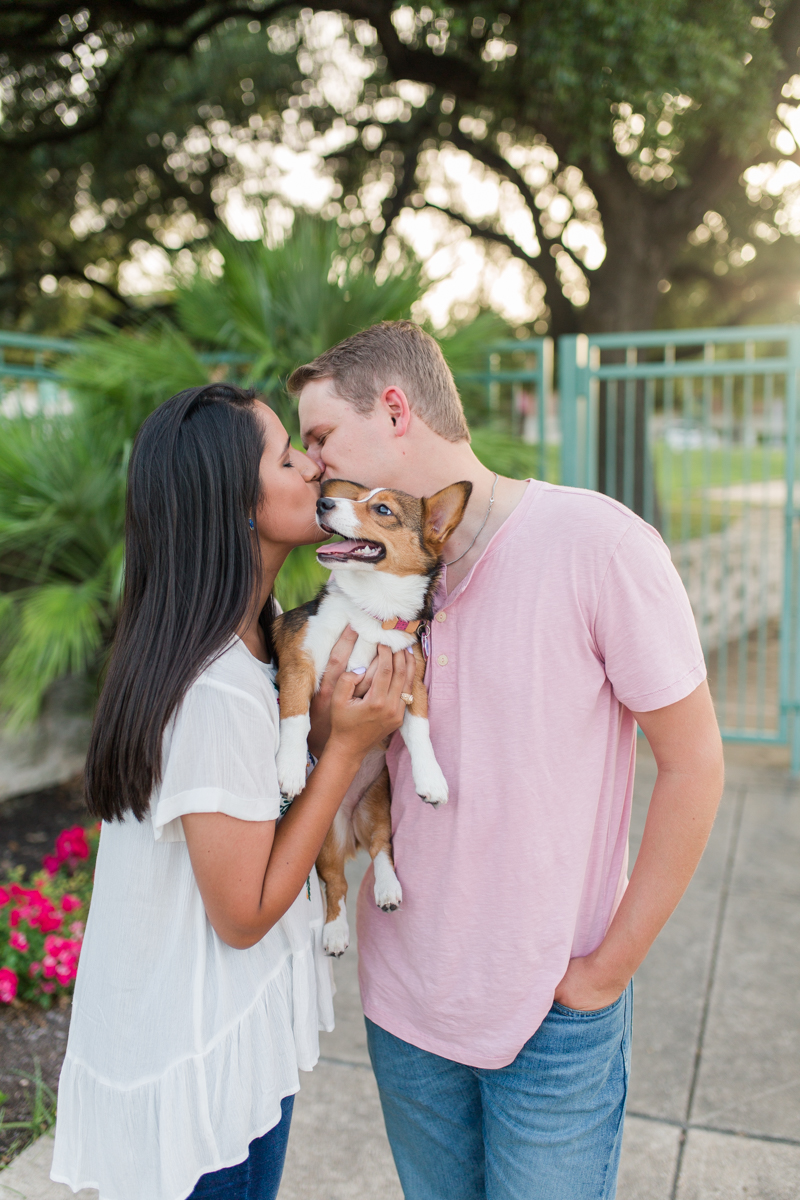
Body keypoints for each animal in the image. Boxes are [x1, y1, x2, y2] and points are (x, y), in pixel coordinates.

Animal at [275, 477, 472, 955]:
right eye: (355, 498)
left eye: (382, 510)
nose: (322, 502)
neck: (374, 613)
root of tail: (350, 828)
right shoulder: (299, 666)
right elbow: (297, 719)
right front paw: (289, 768)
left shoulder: (412, 683)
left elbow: (420, 734)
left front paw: (432, 781)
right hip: (323, 837)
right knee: (336, 883)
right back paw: (335, 931)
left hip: (377, 805)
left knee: (382, 846)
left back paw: (387, 888)